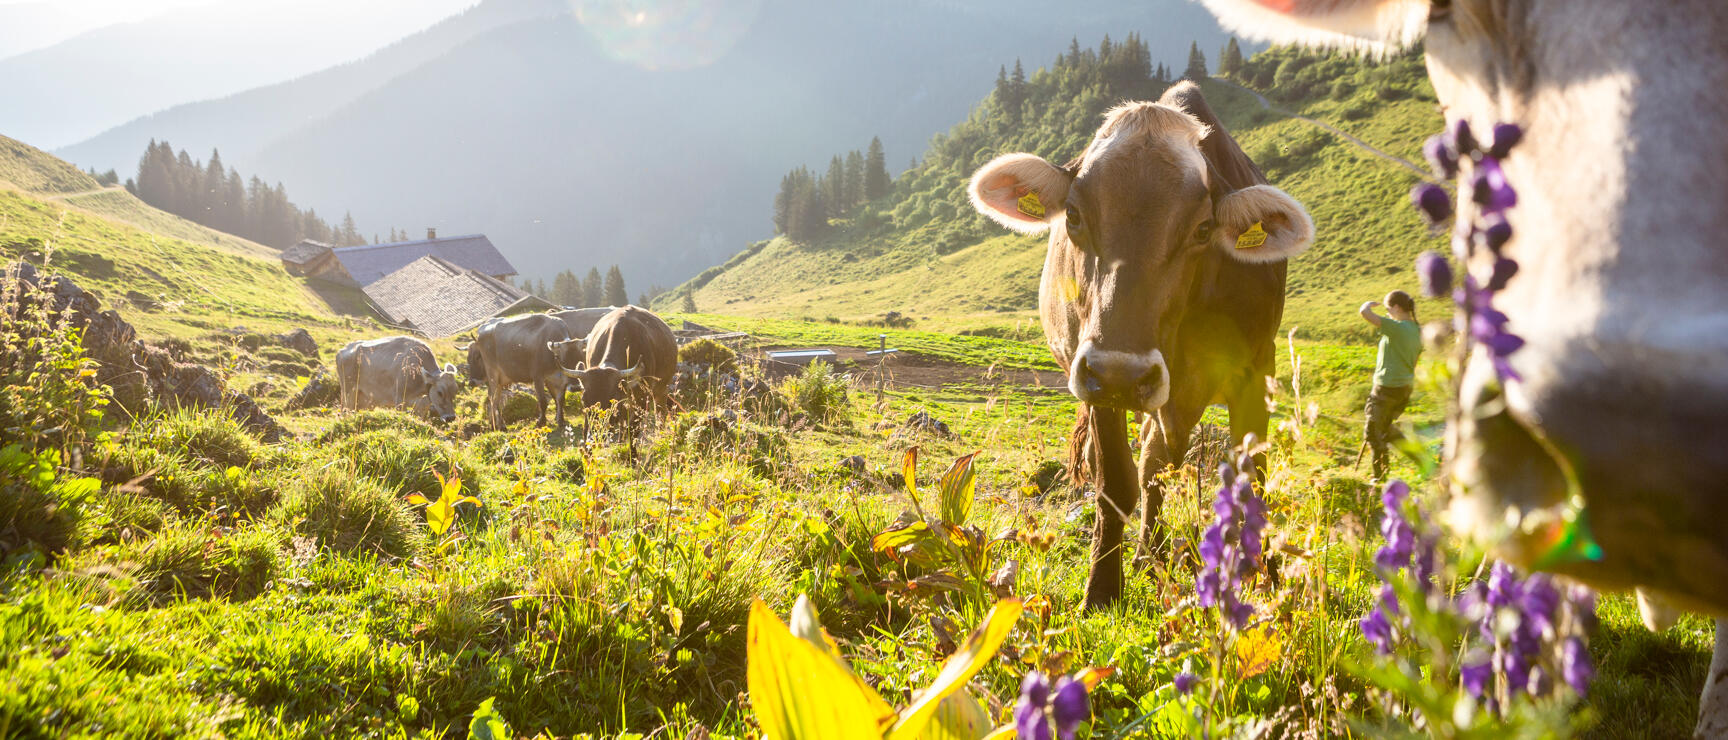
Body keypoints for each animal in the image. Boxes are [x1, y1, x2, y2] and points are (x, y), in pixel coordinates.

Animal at [967, 81, 1315, 609]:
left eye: (1203, 229)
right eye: (1073, 215)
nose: (1124, 373)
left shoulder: (1257, 368)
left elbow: (1251, 476)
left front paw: (1264, 579)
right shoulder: (1098, 378)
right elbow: (1116, 481)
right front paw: (1101, 589)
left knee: (1158, 460)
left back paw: (1151, 555)